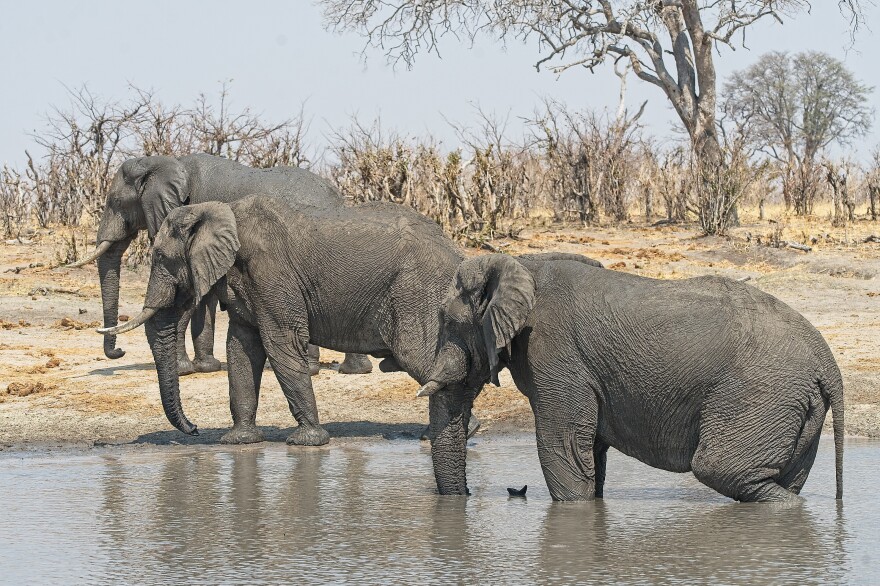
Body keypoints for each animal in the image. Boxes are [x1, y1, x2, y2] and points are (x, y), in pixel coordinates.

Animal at [69, 153, 372, 376]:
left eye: (115, 202)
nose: (118, 352)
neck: (162, 162)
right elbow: (202, 296)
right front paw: (206, 367)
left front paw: (182, 371)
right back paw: (354, 370)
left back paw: (314, 370)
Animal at [98, 195, 488, 448]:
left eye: (161, 258)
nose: (193, 429)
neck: (217, 210)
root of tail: (456, 251)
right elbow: (242, 348)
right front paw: (237, 441)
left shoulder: (270, 272)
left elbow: (280, 343)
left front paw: (307, 442)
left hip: (416, 289)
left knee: (414, 355)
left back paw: (460, 431)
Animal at [420, 253, 844, 500]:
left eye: (449, 322)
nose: (467, 496)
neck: (520, 263)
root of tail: (828, 362)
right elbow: (589, 449)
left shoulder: (555, 355)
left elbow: (564, 448)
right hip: (796, 404)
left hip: (760, 394)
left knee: (723, 470)